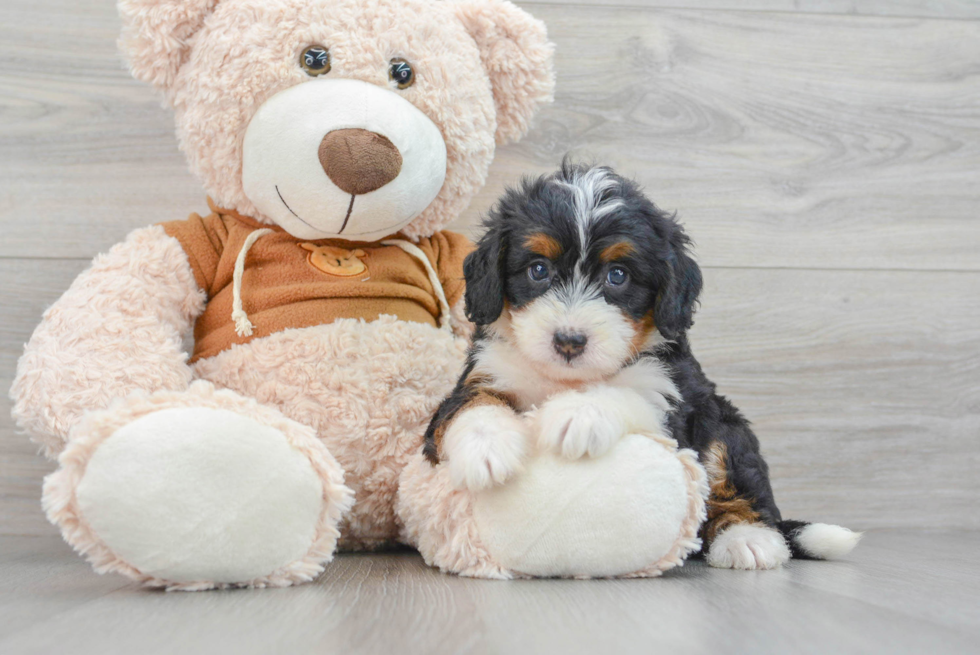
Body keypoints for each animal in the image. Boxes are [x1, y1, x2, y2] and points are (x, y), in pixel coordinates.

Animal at [424, 163, 860, 568]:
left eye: (617, 275)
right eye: (538, 269)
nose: (569, 341)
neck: (566, 379)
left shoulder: (669, 396)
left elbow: (625, 394)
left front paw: (577, 415)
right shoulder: (484, 373)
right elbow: (472, 403)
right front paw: (486, 449)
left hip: (723, 425)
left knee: (737, 484)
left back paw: (748, 539)